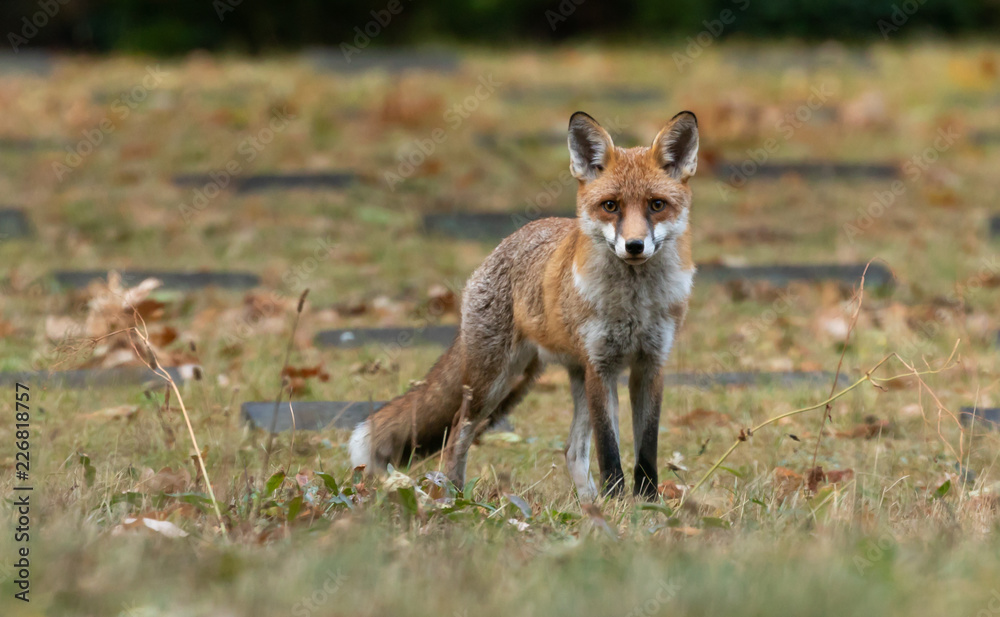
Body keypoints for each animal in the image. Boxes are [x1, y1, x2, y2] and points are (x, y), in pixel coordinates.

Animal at [350, 110, 699, 500]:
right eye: (611, 205)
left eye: (656, 205)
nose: (634, 246)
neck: (634, 305)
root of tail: (510, 239)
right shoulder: (601, 367)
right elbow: (609, 452)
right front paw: (616, 503)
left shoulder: (650, 366)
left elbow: (646, 450)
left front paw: (646, 503)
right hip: (497, 383)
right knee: (457, 433)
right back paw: (453, 496)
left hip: (545, 380)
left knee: (572, 450)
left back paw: (588, 504)